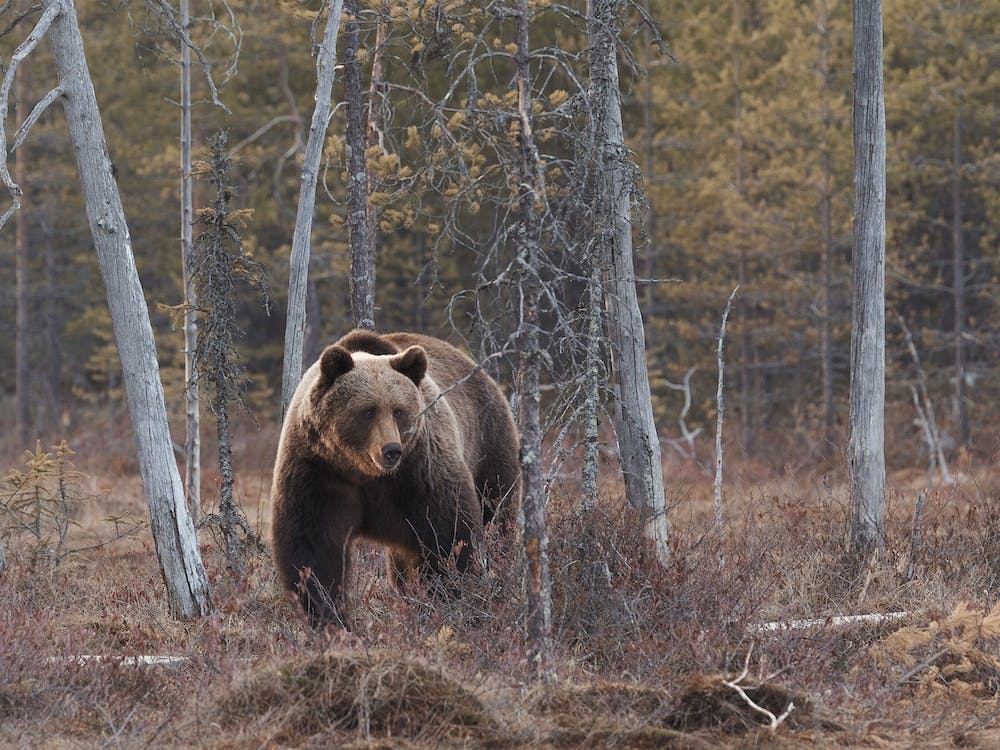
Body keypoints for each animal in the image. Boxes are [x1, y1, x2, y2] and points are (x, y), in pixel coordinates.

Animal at [271, 329, 521, 627]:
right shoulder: (318, 471)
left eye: (399, 410)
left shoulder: (419, 472)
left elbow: (448, 536)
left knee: (496, 515)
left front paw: (446, 600)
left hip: (488, 445)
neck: (364, 472)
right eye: (367, 410)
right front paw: (329, 616)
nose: (391, 450)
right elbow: (314, 548)